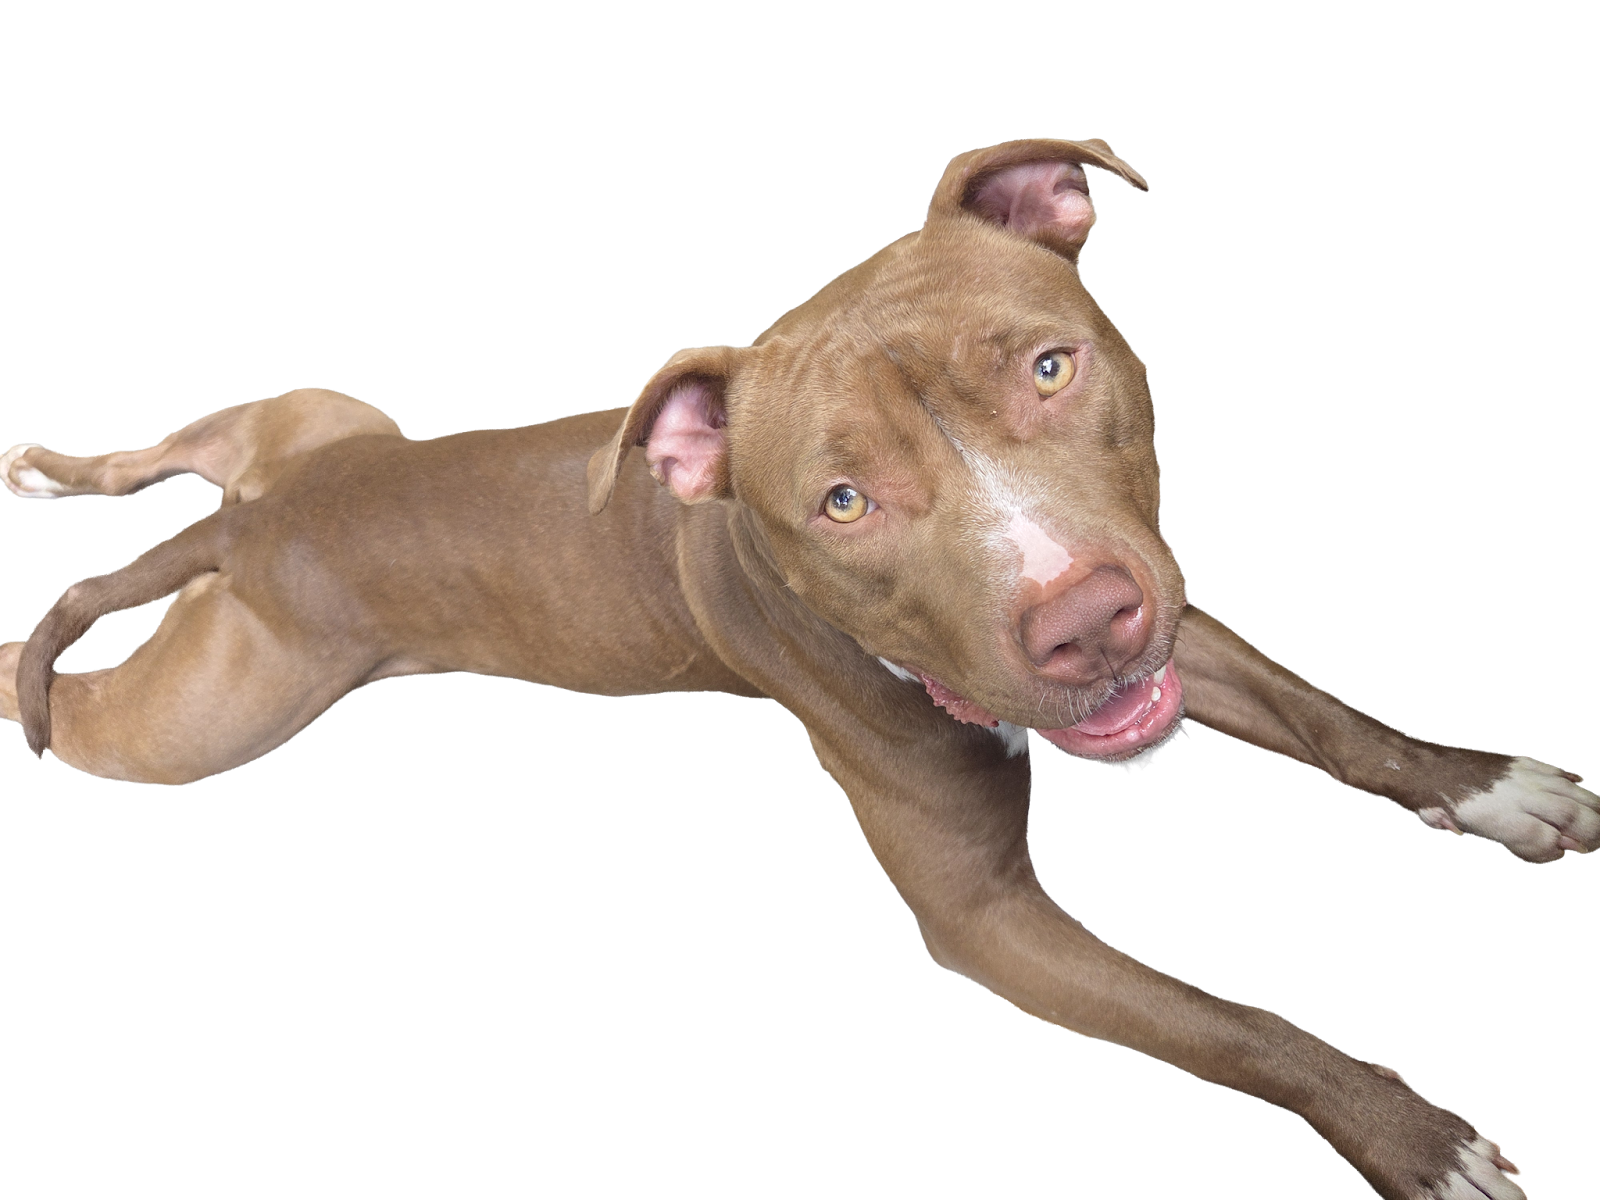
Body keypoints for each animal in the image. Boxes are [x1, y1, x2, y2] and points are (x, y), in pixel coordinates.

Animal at [2, 138, 1592, 1199]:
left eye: (1049, 367)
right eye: (843, 503)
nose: (1082, 620)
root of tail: (258, 526)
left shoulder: (1163, 609)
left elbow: (1331, 713)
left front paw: (1491, 788)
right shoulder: (986, 919)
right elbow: (1228, 1022)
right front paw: (1418, 1138)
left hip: (321, 412)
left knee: (182, 440)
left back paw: (57, 464)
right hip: (210, 702)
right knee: (84, 698)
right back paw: (36, 639)